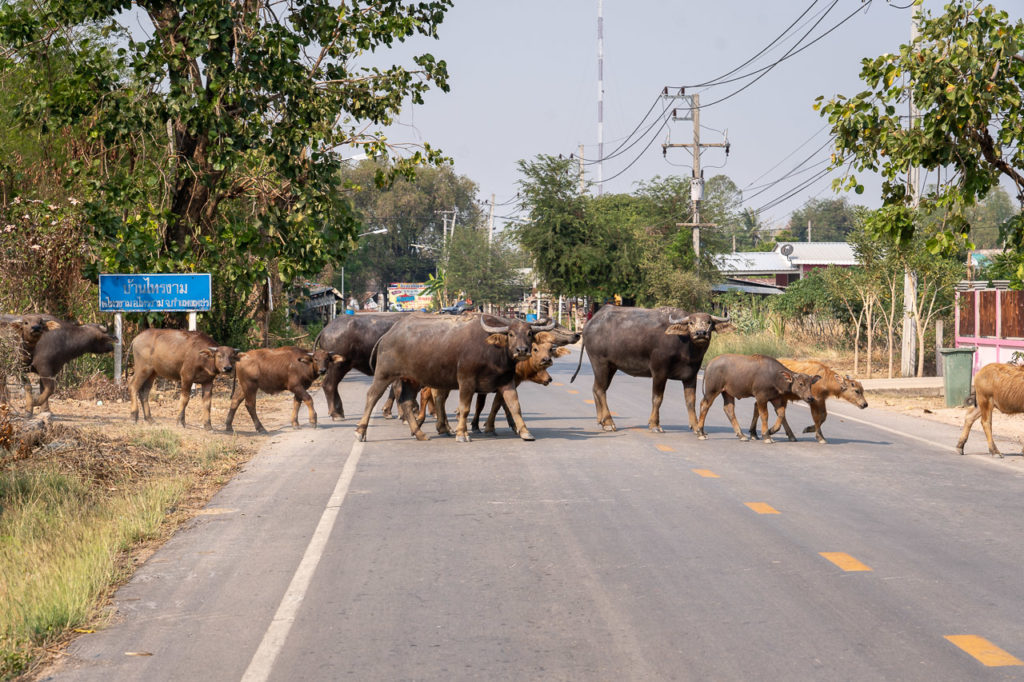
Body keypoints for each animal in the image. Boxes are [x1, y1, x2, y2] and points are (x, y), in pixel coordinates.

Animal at [356, 311, 557, 440]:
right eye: (511, 334)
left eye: (529, 333)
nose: (521, 350)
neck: (491, 350)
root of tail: (388, 335)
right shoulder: (466, 381)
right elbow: (465, 408)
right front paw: (462, 433)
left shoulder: (506, 382)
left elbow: (514, 406)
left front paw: (525, 432)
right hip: (384, 374)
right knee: (372, 396)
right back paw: (360, 431)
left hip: (411, 379)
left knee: (406, 400)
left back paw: (420, 433)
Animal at [569, 307, 729, 430]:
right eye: (691, 322)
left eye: (709, 322)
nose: (700, 333)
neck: (685, 347)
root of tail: (589, 324)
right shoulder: (659, 372)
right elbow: (657, 398)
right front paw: (655, 425)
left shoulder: (690, 376)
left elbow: (691, 400)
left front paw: (696, 426)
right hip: (600, 363)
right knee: (600, 390)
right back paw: (608, 422)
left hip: (611, 367)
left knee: (597, 388)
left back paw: (601, 420)